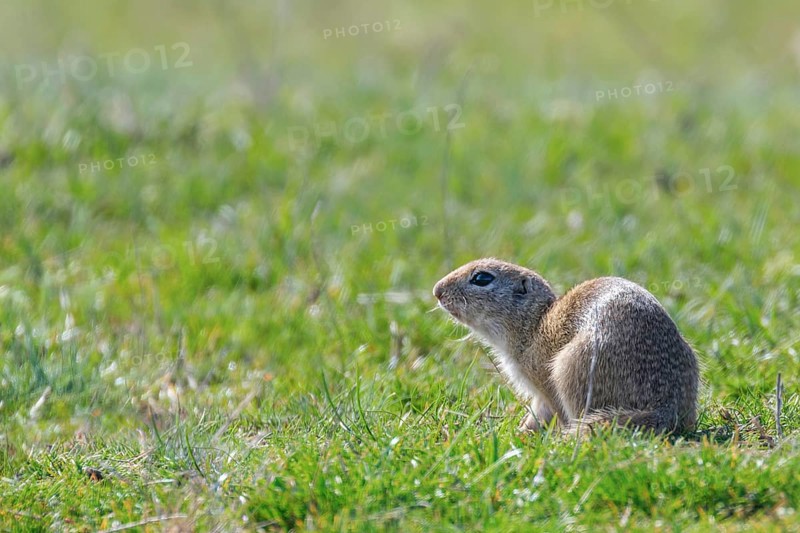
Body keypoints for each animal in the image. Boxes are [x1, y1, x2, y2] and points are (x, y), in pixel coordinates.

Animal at [433, 258, 699, 434]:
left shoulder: (543, 383)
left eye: (482, 278)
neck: (534, 324)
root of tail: (665, 407)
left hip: (569, 369)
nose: (437, 290)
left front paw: (520, 434)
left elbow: (543, 413)